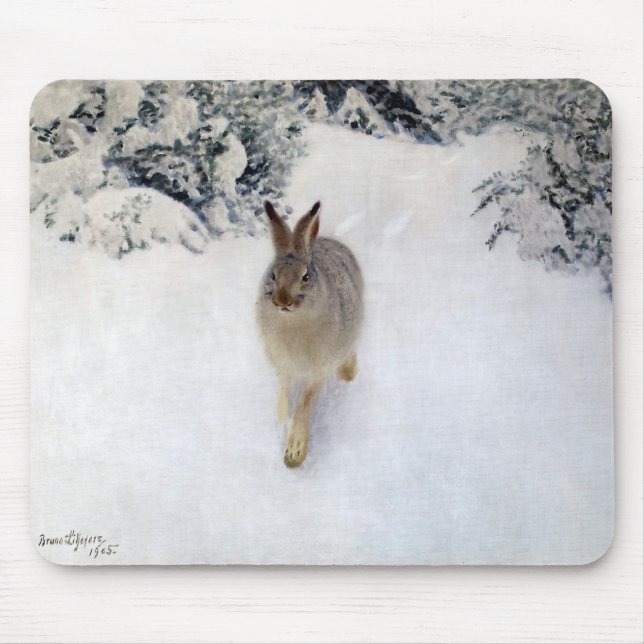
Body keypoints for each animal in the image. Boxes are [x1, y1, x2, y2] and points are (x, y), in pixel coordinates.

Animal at [256, 200, 364, 467]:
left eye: (305, 277)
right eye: (273, 275)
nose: (282, 300)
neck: (294, 323)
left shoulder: (319, 369)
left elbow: (305, 403)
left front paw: (295, 451)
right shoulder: (284, 366)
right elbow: (284, 394)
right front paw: (281, 421)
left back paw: (348, 374)